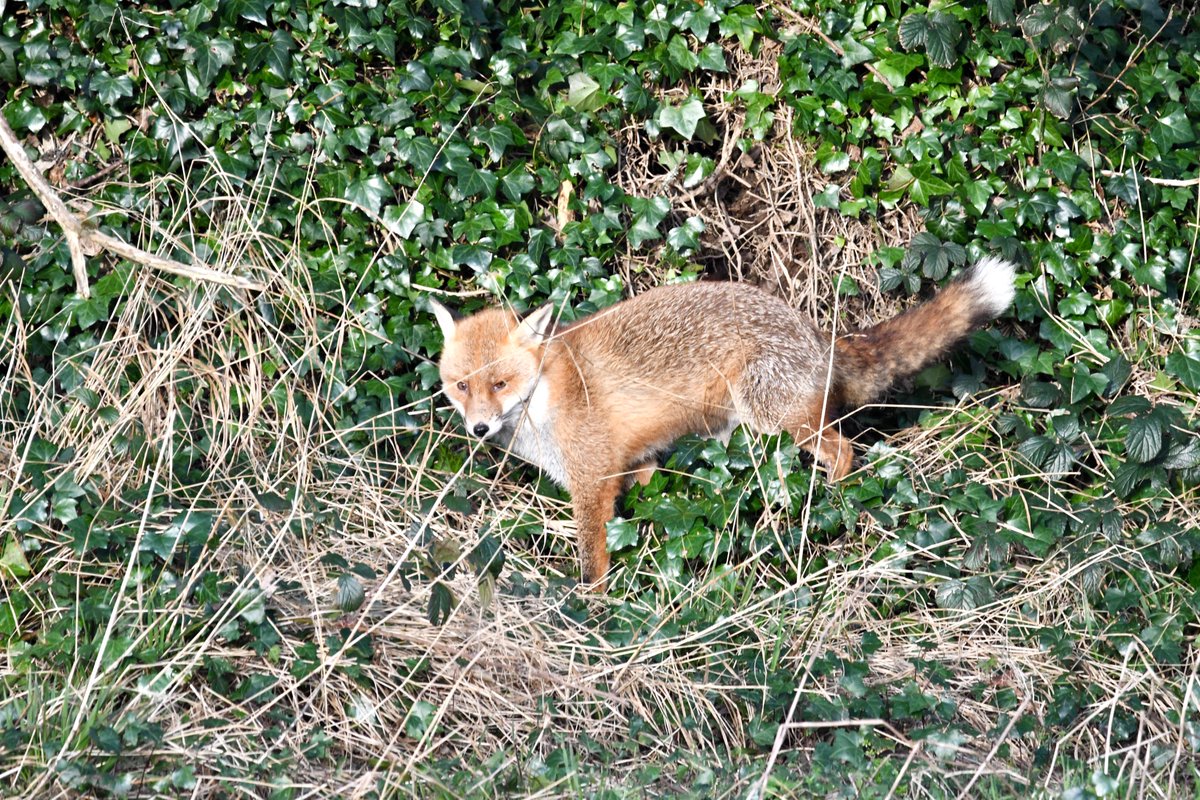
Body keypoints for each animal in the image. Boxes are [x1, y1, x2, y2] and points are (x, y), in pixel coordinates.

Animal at [431, 256, 1017, 591]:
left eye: (499, 384)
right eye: (461, 386)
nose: (479, 430)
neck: (544, 403)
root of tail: (815, 331)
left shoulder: (592, 481)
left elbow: (593, 562)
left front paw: (592, 614)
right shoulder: (638, 464)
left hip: (774, 420)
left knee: (844, 450)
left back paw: (829, 508)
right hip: (738, 435)